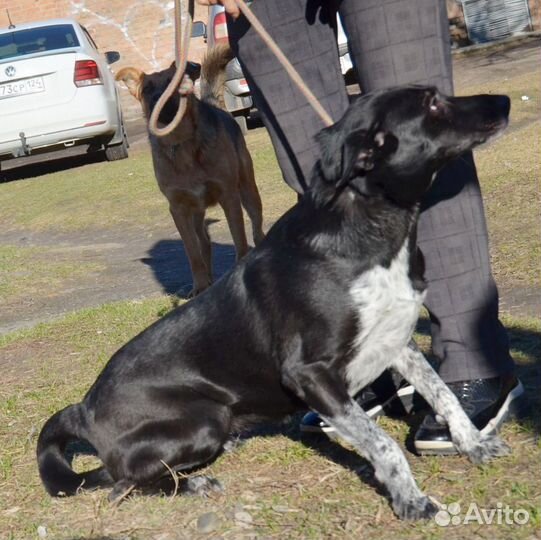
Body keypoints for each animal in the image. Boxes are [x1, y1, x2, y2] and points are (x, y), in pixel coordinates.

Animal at [37, 85, 510, 520]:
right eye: (432, 104)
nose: (503, 100)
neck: (368, 228)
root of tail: (84, 408)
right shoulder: (309, 374)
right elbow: (383, 442)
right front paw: (410, 499)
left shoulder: (397, 341)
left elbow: (442, 393)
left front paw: (473, 444)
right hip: (204, 419)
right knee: (120, 485)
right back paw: (194, 485)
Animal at [116, 47, 264, 296]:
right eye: (147, 89)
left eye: (172, 83)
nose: (158, 99)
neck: (181, 143)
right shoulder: (178, 209)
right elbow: (192, 252)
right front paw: (200, 285)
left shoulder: (229, 197)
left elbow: (239, 238)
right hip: (196, 213)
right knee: (203, 241)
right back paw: (209, 279)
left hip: (248, 191)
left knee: (256, 226)